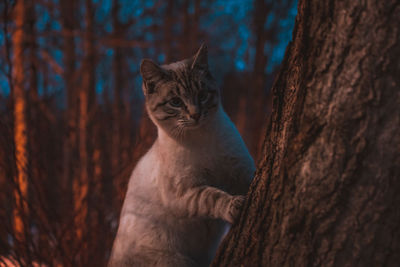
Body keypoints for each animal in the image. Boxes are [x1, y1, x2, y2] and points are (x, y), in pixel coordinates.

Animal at [108, 45, 255, 267]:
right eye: (176, 102)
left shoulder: (240, 169)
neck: (200, 137)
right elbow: (213, 196)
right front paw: (235, 205)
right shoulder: (184, 191)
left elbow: (251, 180)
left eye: (202, 95)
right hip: (176, 260)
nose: (195, 114)